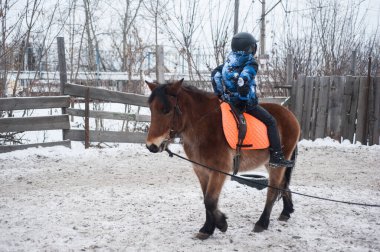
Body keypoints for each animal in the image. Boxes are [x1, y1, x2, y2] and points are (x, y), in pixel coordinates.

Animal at [145, 79, 300, 239]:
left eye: (166, 110)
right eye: (151, 109)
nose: (151, 146)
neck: (204, 125)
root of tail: (289, 114)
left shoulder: (219, 170)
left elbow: (210, 201)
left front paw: (221, 223)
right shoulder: (201, 170)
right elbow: (206, 200)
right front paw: (207, 229)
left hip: (277, 164)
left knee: (273, 190)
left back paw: (262, 223)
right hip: (270, 164)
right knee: (282, 184)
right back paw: (286, 212)